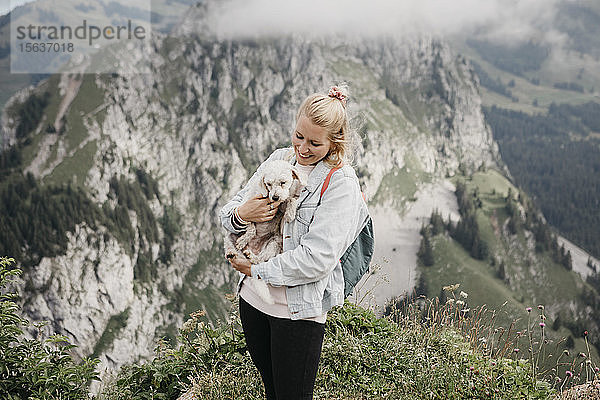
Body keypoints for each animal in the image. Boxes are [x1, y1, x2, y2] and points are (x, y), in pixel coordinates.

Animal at [225, 159, 304, 304]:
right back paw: (233, 252)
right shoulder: (248, 206)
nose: (275, 197)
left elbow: (290, 199)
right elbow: (251, 226)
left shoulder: (281, 204)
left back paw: (252, 256)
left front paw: (290, 213)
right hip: (229, 236)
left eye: (283, 182)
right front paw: (244, 239)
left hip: (274, 244)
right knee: (233, 249)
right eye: (269, 184)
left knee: (259, 260)